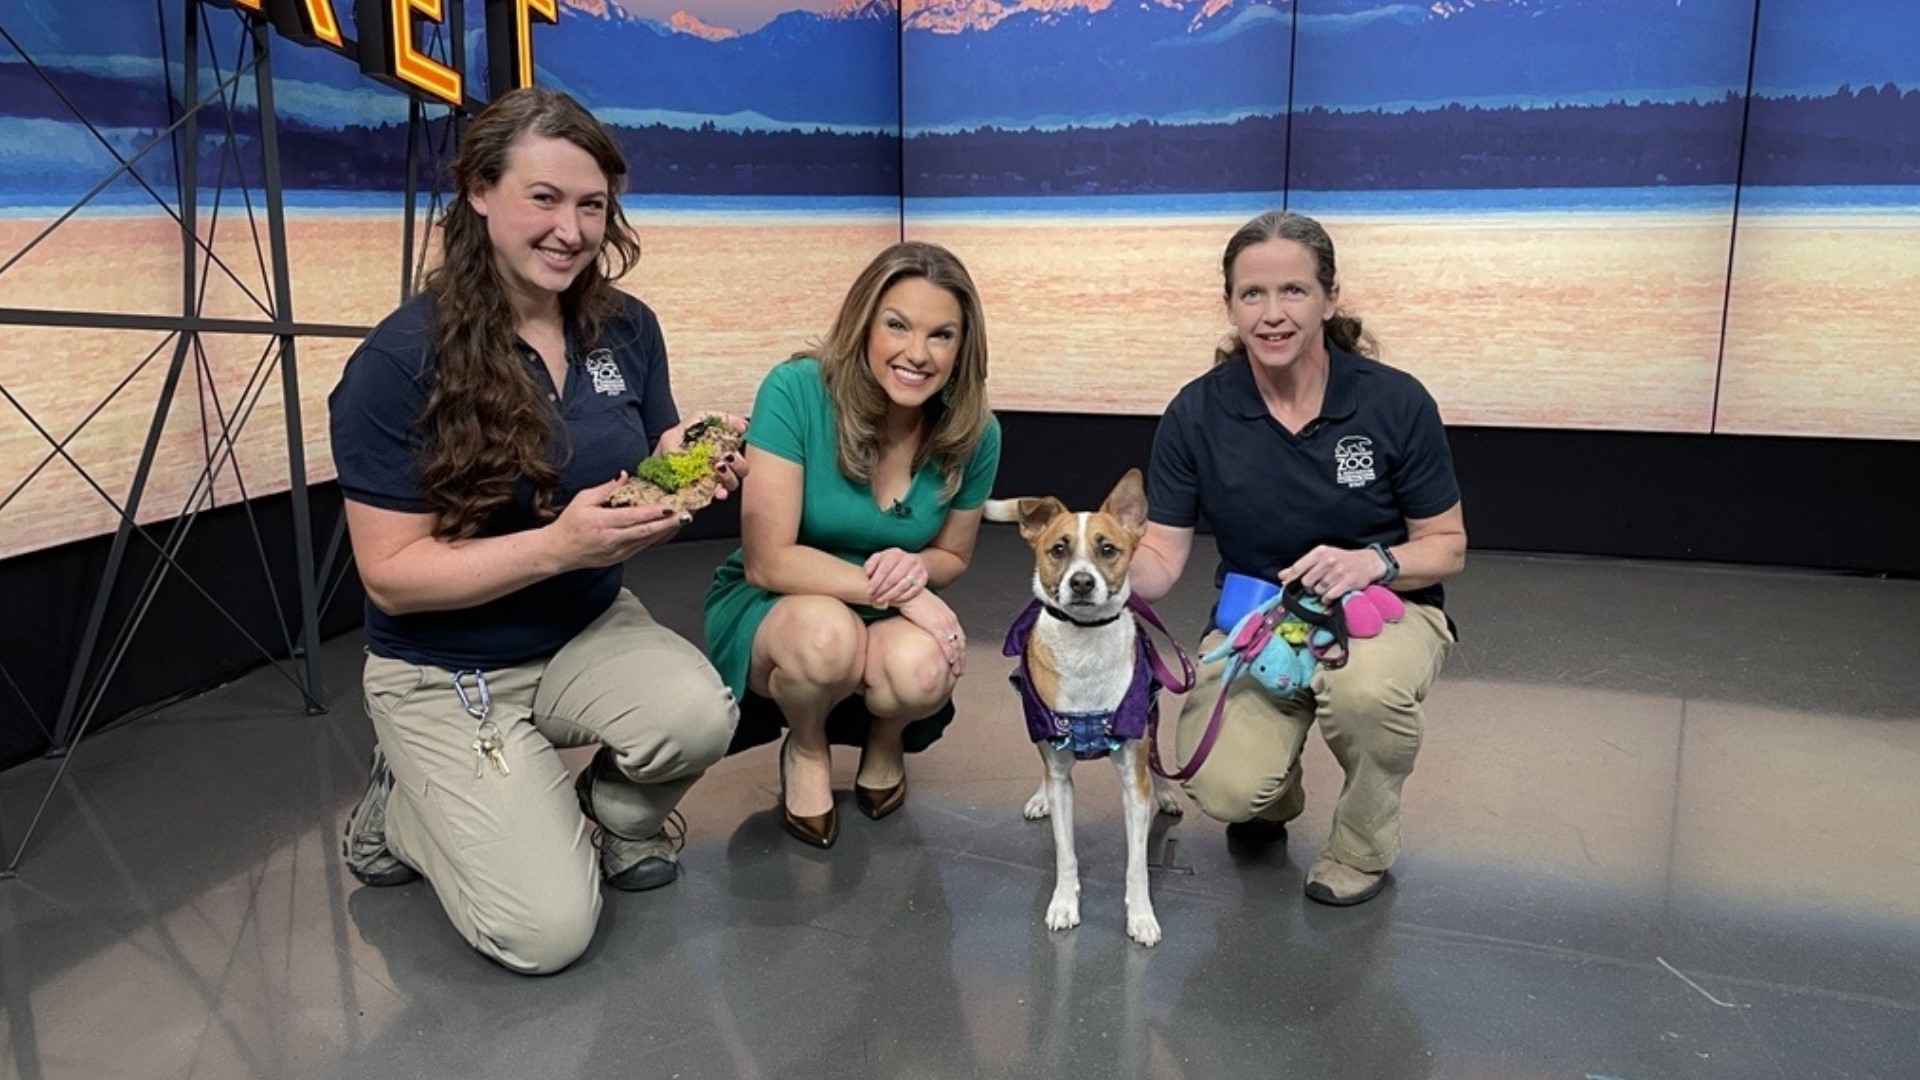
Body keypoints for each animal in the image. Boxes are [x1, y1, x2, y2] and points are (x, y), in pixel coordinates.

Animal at [990, 466, 1182, 937]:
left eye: (1107, 549)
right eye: (1058, 549)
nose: (1081, 581)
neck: (1085, 643)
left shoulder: (1133, 780)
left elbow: (1137, 865)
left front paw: (1141, 915)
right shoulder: (1059, 767)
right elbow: (1066, 854)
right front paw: (1063, 903)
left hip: (1151, 715)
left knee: (1156, 759)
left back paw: (1166, 791)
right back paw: (1039, 796)